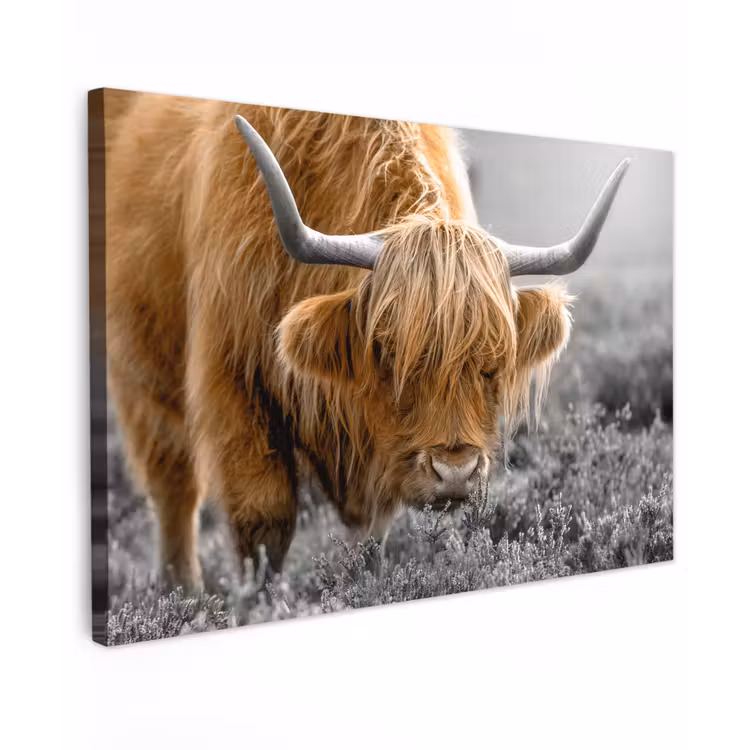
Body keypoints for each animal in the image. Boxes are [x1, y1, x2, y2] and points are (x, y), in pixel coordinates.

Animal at [104, 90, 629, 590]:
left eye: (492, 362)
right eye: (389, 353)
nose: (455, 472)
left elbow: (373, 536)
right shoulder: (235, 383)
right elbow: (263, 523)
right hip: (143, 377)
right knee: (174, 488)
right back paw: (185, 593)